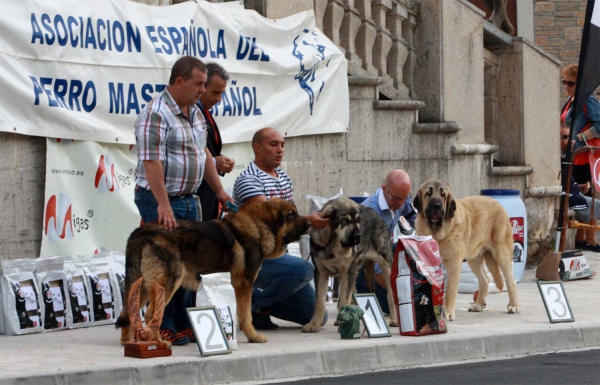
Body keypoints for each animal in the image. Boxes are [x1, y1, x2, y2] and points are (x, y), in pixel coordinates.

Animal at [118, 198, 314, 344]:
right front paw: (253, 337)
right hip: (168, 284)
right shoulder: (244, 285)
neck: (258, 225)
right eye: (291, 215)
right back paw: (158, 342)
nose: (310, 223)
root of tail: (141, 231)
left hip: (143, 286)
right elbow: (246, 316)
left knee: (130, 310)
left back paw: (128, 341)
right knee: (151, 314)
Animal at [300, 196, 398, 332]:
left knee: (391, 294)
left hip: (385, 265)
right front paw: (314, 324)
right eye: (344, 221)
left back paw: (394, 319)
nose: (358, 236)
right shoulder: (321, 273)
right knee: (353, 294)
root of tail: (377, 215)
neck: (333, 242)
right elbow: (319, 302)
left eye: (358, 220)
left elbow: (343, 301)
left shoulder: (346, 272)